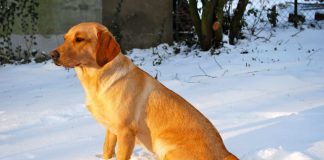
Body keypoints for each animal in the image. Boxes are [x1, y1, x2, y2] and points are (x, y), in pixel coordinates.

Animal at [50, 22, 238, 160]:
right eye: (65, 38)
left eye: (79, 39)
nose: (52, 55)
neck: (98, 78)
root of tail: (225, 153)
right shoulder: (111, 130)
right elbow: (107, 151)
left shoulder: (126, 132)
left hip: (163, 144)